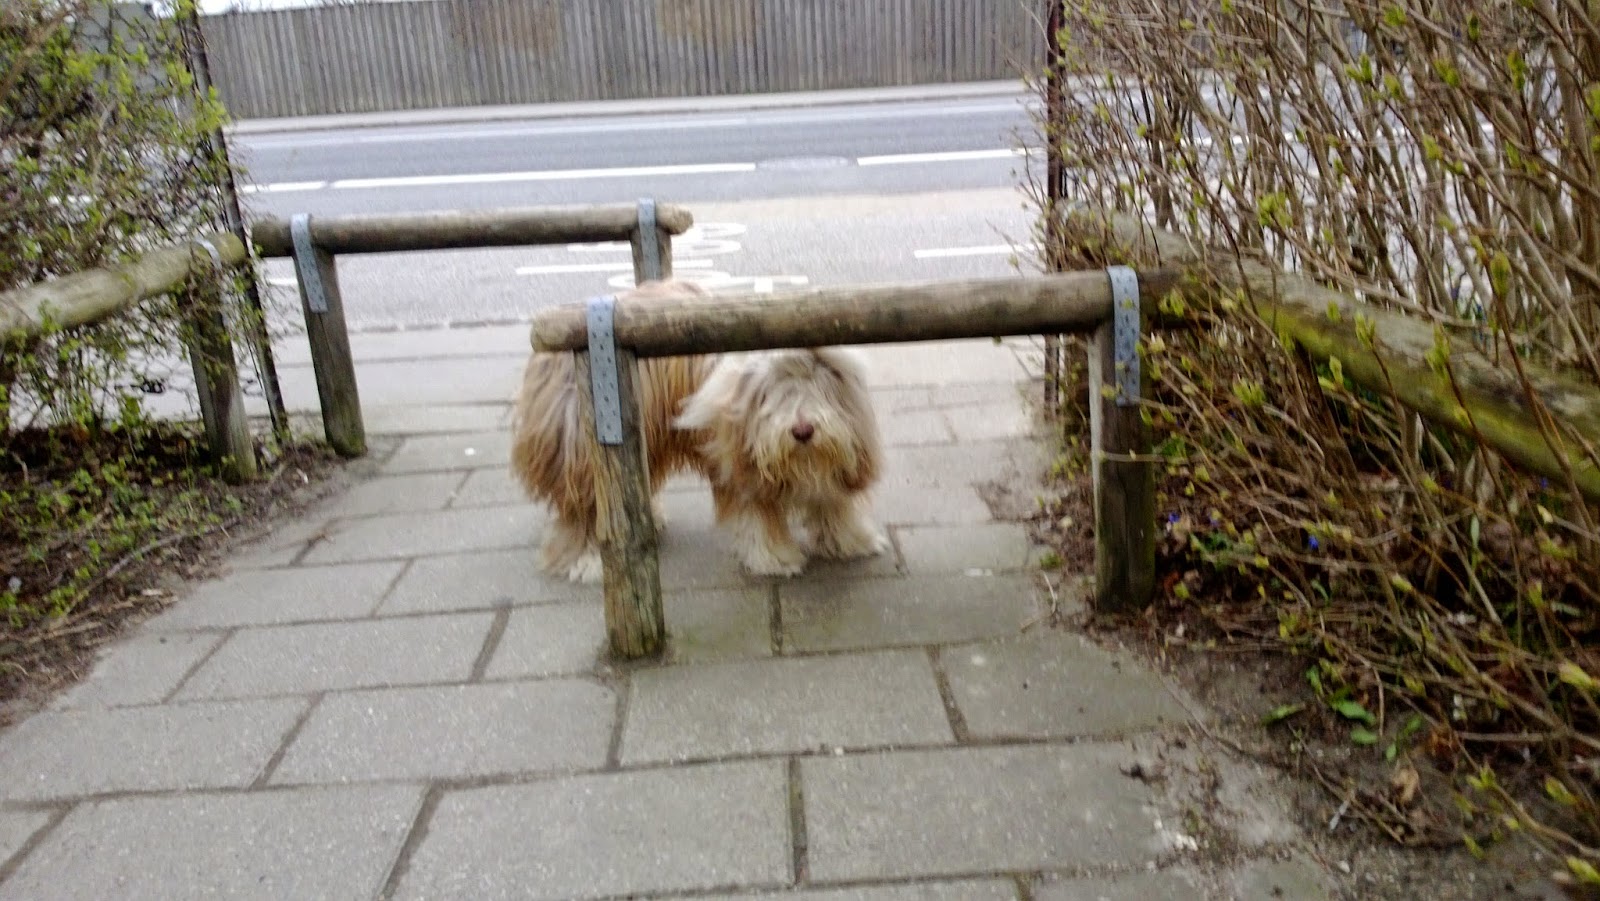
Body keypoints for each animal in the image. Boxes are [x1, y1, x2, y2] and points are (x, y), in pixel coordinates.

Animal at [509, 278, 888, 583]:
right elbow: (758, 515)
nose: (803, 430)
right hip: (582, 452)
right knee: (582, 512)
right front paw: (774, 560)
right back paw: (587, 561)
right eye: (772, 395)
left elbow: (833, 501)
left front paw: (850, 540)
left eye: (818, 387)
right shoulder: (740, 465)